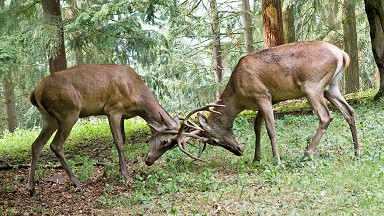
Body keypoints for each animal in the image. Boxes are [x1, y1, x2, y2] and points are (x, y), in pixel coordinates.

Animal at [27, 64, 200, 196]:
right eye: (165, 141)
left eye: (172, 146)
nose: (149, 161)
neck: (136, 95)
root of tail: (34, 93)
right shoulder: (113, 109)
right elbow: (119, 142)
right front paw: (126, 175)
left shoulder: (123, 115)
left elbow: (123, 138)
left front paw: (120, 170)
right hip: (68, 112)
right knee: (56, 145)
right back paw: (76, 183)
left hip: (49, 119)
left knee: (36, 145)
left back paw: (31, 188)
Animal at [147, 41, 360, 165]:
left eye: (213, 140)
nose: (239, 150)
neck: (239, 97)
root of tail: (342, 54)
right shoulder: (259, 104)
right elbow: (257, 128)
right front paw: (256, 158)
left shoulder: (263, 96)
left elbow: (271, 129)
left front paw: (277, 160)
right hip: (331, 87)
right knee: (349, 111)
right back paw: (357, 151)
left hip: (312, 86)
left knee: (326, 116)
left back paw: (306, 153)